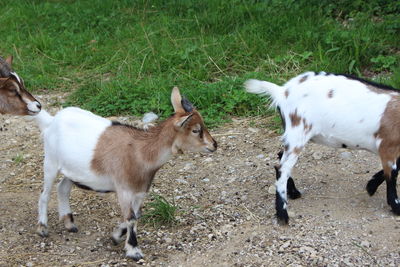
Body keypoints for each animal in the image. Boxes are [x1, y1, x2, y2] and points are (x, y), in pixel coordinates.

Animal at [33, 87, 216, 260]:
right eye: (195, 130)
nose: (214, 145)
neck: (140, 152)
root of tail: (52, 121)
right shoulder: (124, 189)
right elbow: (131, 218)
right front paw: (134, 251)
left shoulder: (140, 191)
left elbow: (137, 215)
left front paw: (115, 237)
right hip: (50, 162)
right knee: (44, 194)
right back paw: (42, 228)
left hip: (73, 171)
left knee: (62, 188)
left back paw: (70, 223)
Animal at [244, 72, 400, 225]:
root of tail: (283, 92)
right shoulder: (387, 146)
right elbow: (392, 174)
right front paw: (396, 206)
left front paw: (371, 186)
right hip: (298, 132)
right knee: (282, 168)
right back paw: (283, 214)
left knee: (281, 155)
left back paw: (293, 192)